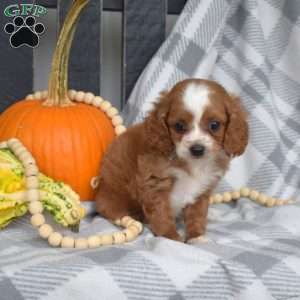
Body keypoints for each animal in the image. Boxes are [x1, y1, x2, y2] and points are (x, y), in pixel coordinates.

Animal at [96, 78, 248, 243]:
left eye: (214, 125)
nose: (197, 149)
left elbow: (197, 214)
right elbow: (161, 213)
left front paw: (196, 236)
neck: (192, 164)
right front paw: (170, 237)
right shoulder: (154, 184)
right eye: (179, 126)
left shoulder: (202, 189)